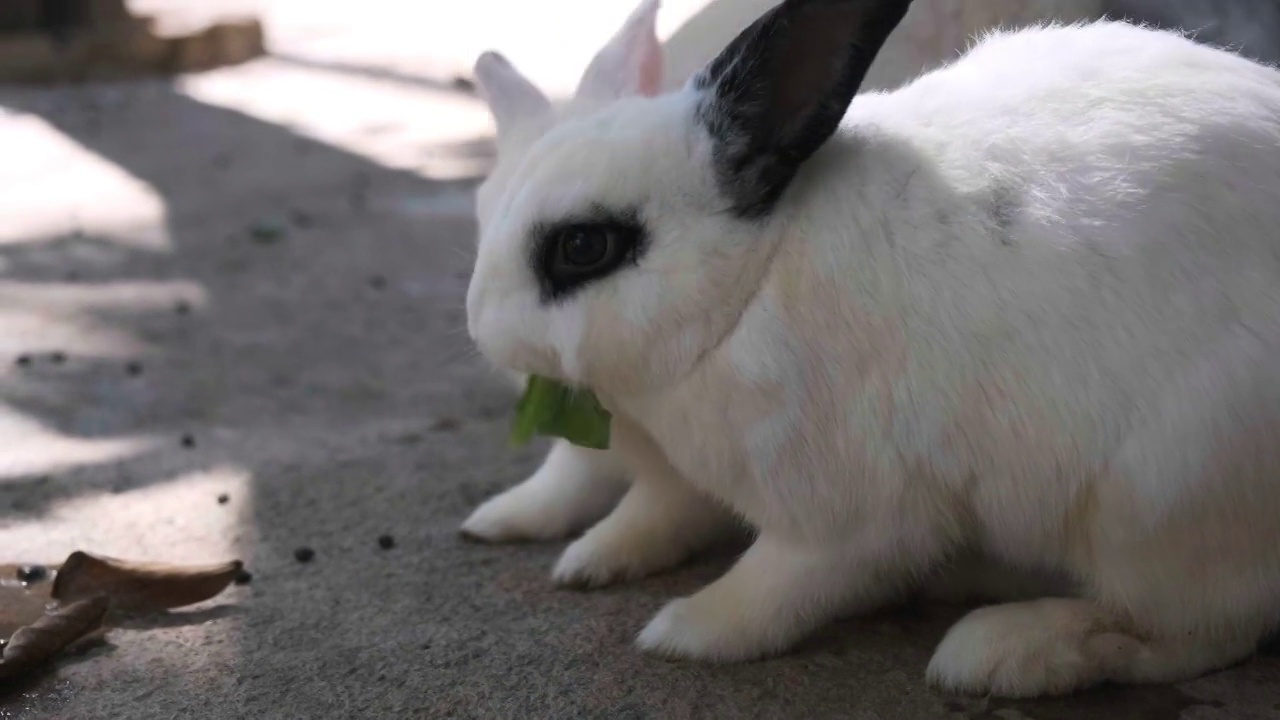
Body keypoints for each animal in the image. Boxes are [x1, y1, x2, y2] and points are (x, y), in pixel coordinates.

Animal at [460, 0, 1111, 550]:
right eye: (483, 215)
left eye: (581, 246)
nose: (482, 334)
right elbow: (569, 476)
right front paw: (502, 520)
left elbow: (657, 511)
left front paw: (600, 556)